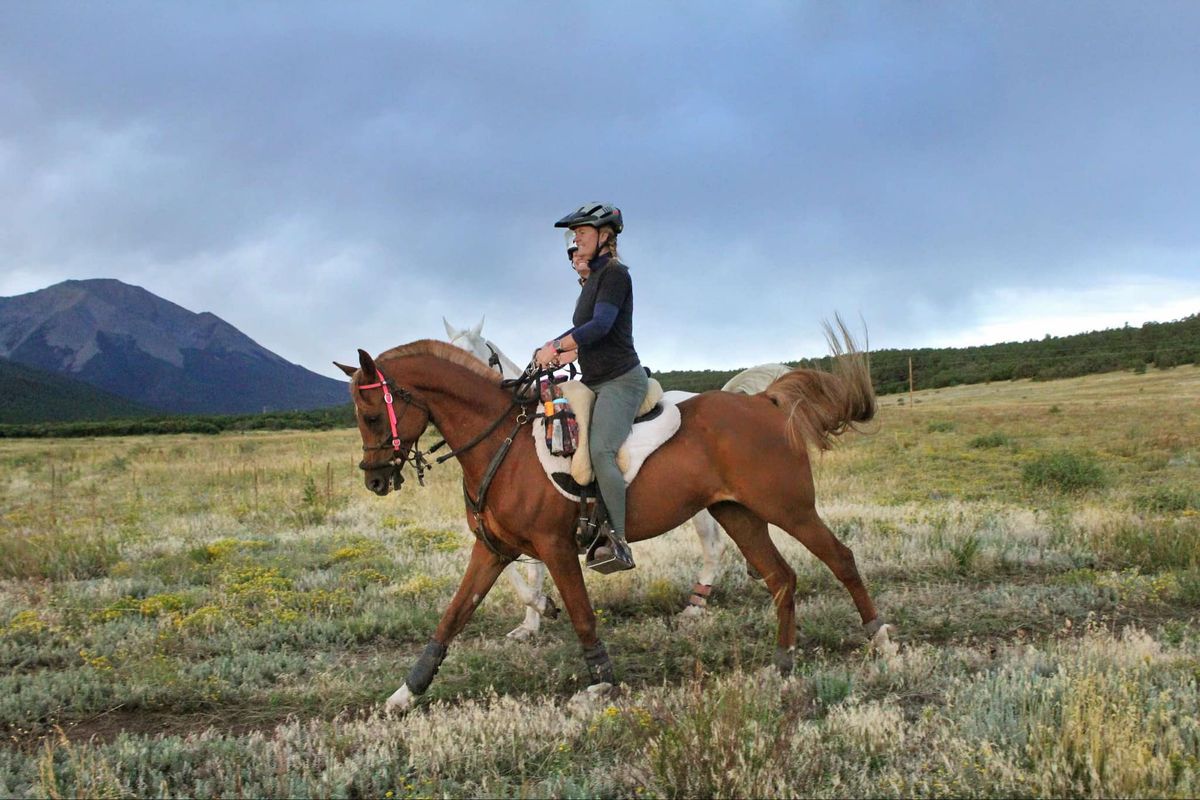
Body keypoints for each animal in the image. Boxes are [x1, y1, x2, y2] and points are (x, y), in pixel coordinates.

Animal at [446, 316, 792, 638]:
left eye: (473, 354)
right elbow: (521, 570)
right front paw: (530, 623)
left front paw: (540, 612)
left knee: (714, 548)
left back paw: (695, 607)